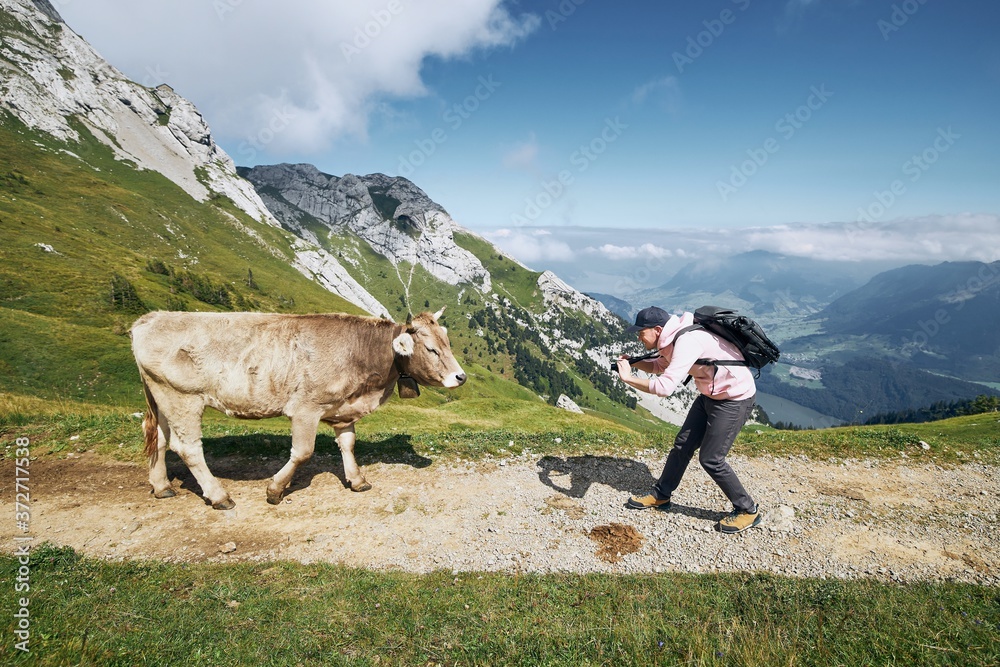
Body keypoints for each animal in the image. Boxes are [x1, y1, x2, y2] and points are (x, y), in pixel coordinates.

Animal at [128, 310, 464, 512]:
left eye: (448, 342)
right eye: (431, 349)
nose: (460, 377)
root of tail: (151, 318)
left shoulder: (342, 407)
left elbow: (348, 444)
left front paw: (357, 480)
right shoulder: (306, 408)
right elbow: (303, 453)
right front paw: (275, 490)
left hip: (161, 397)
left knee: (159, 439)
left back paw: (162, 486)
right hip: (182, 398)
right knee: (188, 448)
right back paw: (220, 496)